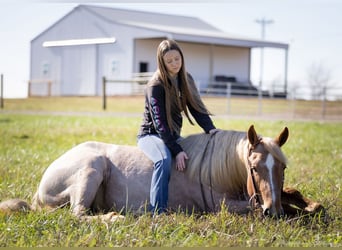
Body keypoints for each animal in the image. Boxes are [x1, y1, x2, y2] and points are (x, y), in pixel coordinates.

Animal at [0, 125, 324, 221]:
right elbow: (255, 206)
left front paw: (311, 206)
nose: (274, 212)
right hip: (92, 167)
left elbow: (293, 194)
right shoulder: (225, 205)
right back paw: (114, 218)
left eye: (282, 167)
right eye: (255, 168)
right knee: (78, 213)